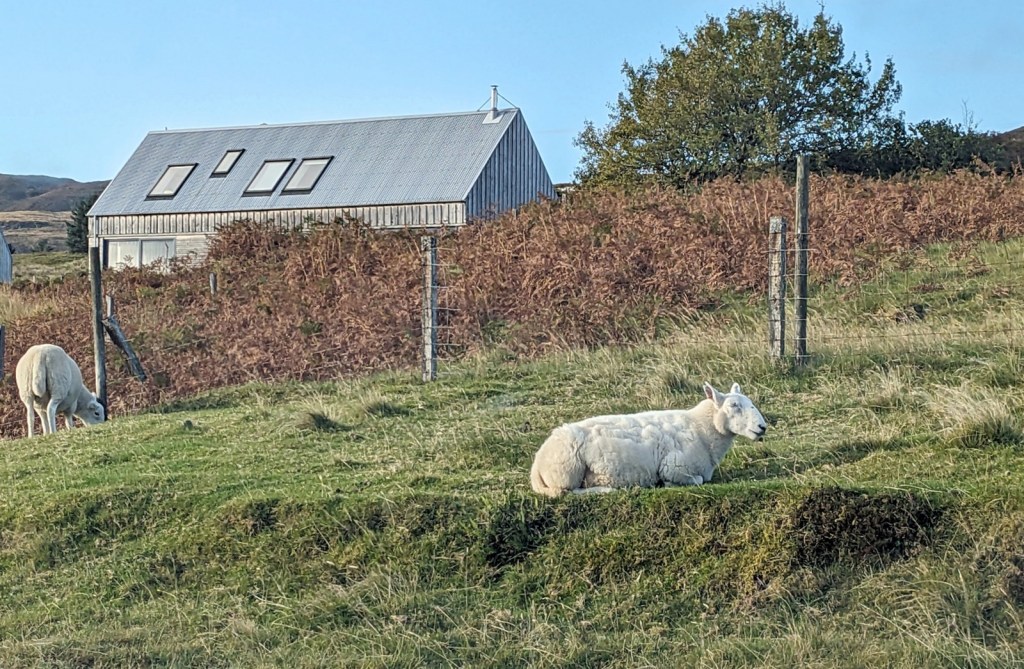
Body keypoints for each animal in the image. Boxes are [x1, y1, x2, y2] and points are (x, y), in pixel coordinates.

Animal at [530, 382, 766, 496]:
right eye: (734, 406)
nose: (762, 427)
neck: (702, 429)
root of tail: (537, 464)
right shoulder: (675, 467)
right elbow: (696, 480)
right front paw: (665, 484)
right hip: (566, 473)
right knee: (567, 492)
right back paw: (606, 490)